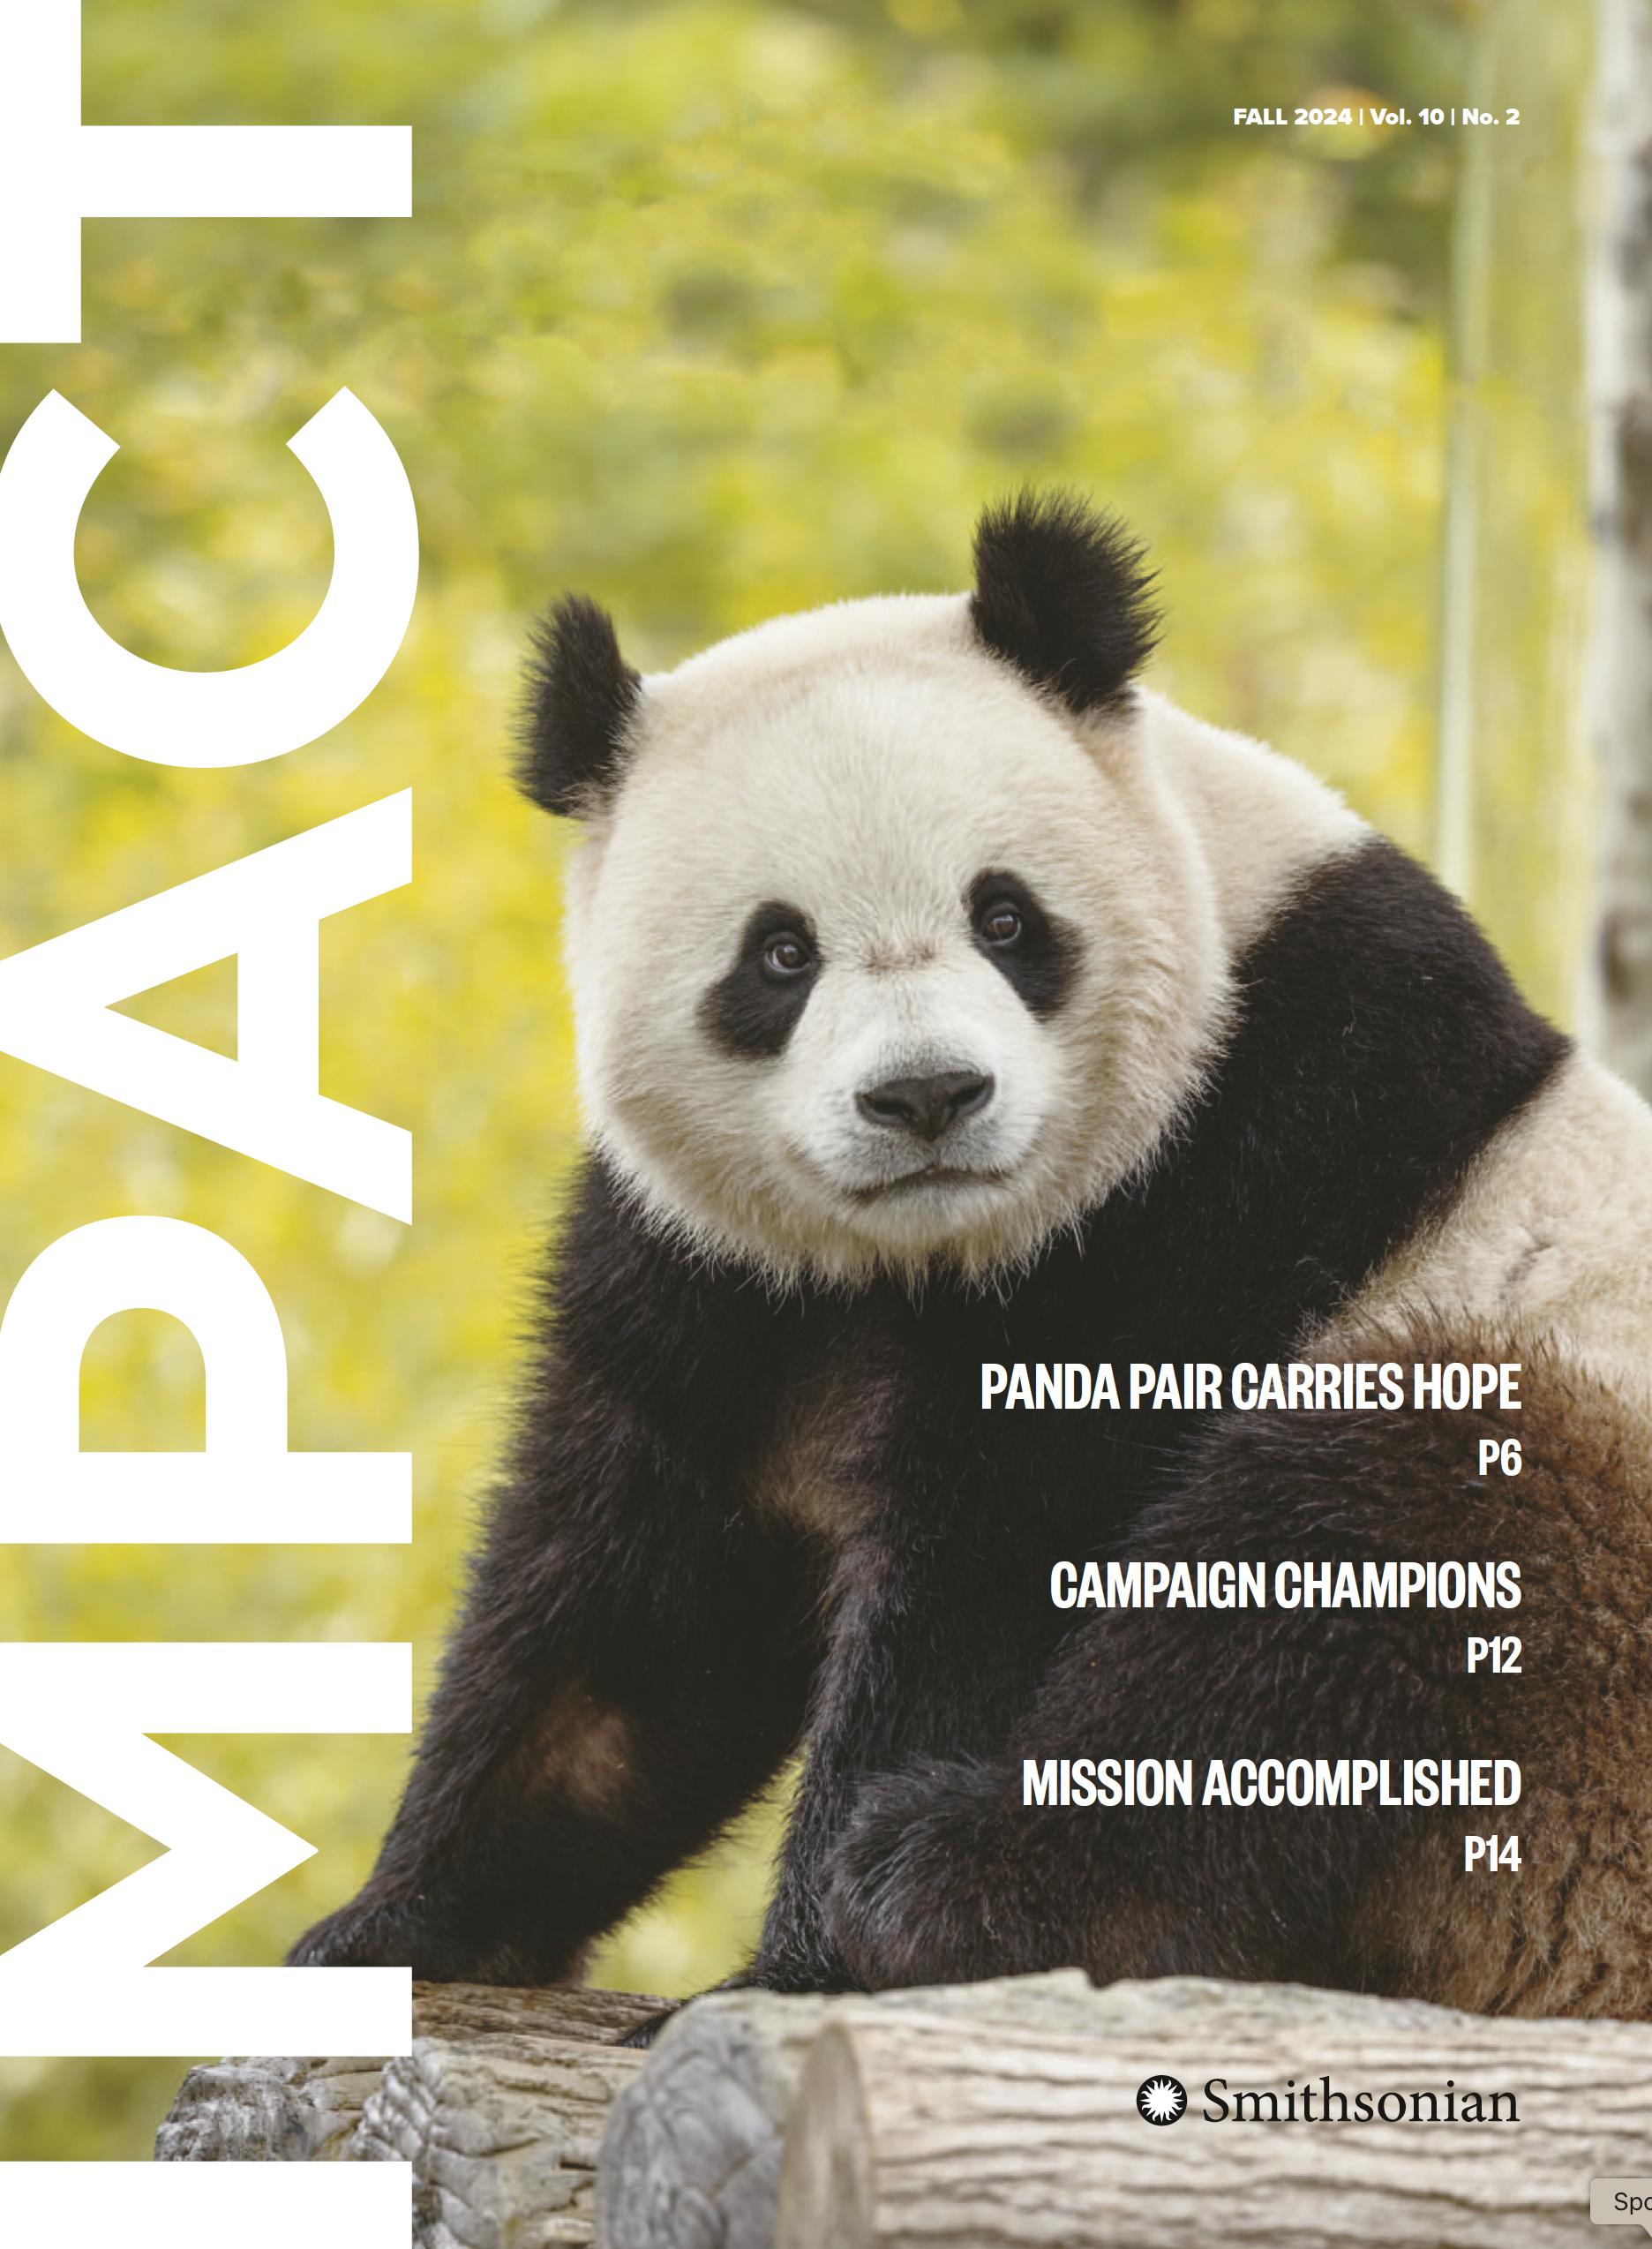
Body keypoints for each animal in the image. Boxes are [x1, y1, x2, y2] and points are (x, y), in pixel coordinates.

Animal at [291, 493, 1652, 2023]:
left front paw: (800, 1971)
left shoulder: (1240, 1159)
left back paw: (947, 1880)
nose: (927, 1096)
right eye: (780, 955)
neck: (924, 1252)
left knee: (1349, 1565)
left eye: (1006, 918)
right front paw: (395, 1925)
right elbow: (633, 1608)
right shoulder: (716, 1272)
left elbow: (1002, 1566)